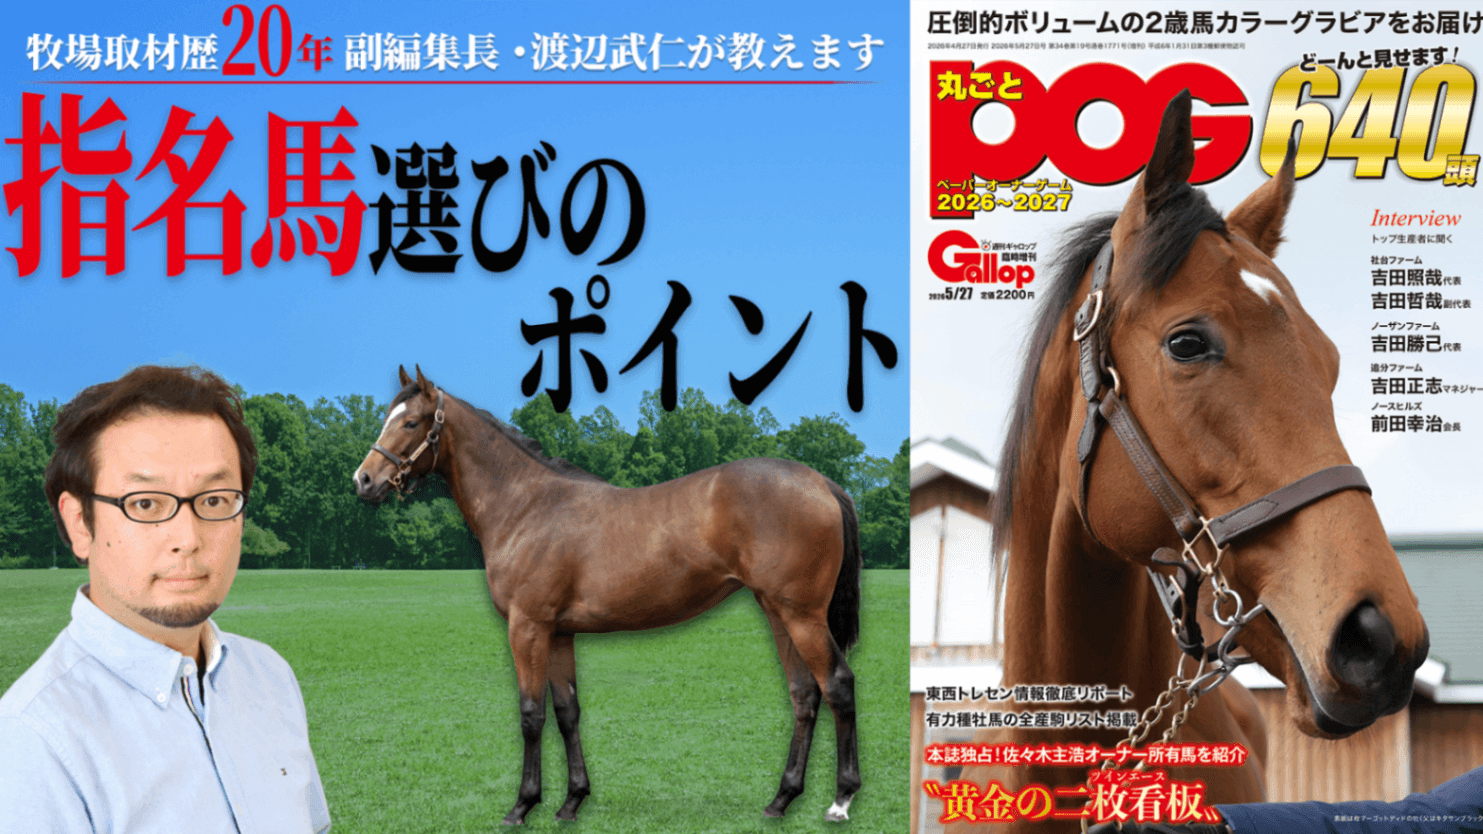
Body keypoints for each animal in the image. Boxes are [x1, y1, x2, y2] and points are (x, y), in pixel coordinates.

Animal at [352, 366, 862, 824]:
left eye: (411, 423)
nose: (363, 480)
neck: (525, 507)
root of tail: (821, 482)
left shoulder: (527, 628)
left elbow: (531, 714)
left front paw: (522, 806)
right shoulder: (558, 633)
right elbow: (567, 712)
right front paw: (572, 802)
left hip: (802, 616)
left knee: (837, 685)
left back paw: (841, 800)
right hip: (778, 613)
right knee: (804, 695)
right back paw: (782, 799)